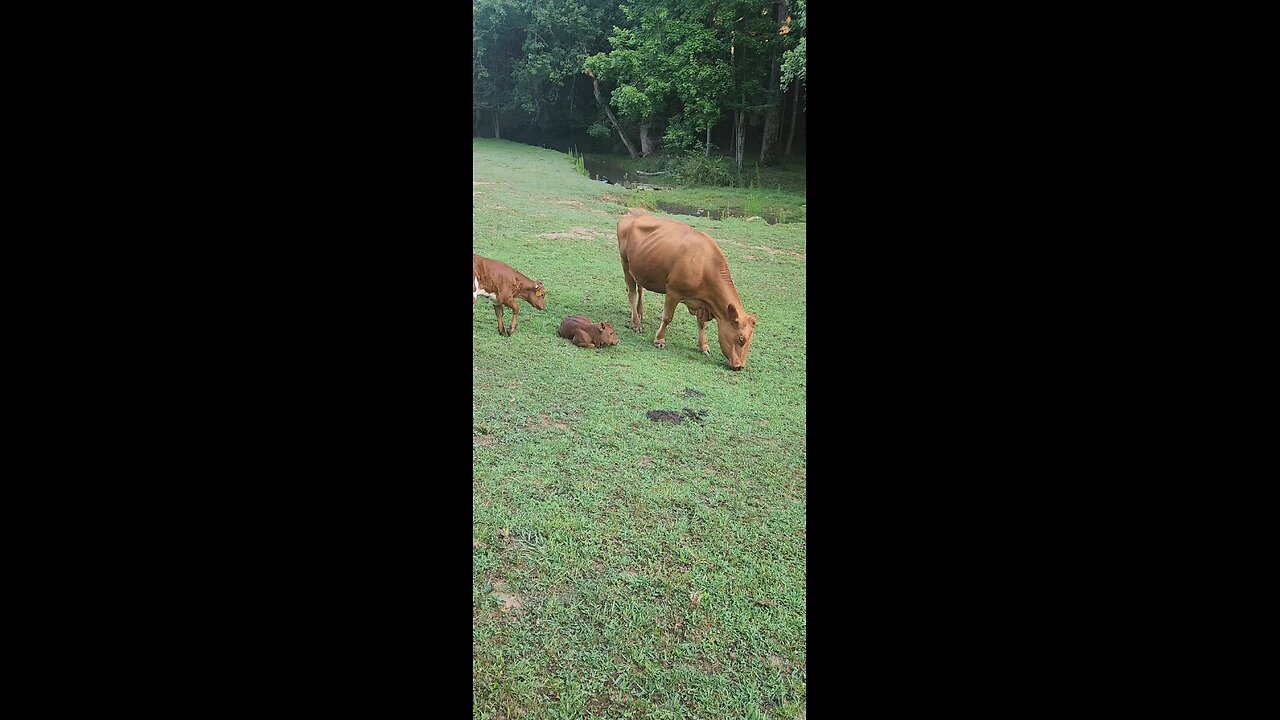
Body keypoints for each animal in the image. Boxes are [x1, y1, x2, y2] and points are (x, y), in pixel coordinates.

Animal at [617, 209, 758, 370]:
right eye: (741, 339)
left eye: (750, 340)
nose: (740, 366)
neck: (704, 266)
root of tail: (632, 213)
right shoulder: (673, 291)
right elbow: (667, 317)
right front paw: (659, 340)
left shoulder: (702, 304)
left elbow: (701, 323)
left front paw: (703, 346)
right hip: (625, 262)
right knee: (632, 293)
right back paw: (636, 323)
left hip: (640, 267)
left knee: (640, 289)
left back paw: (640, 313)